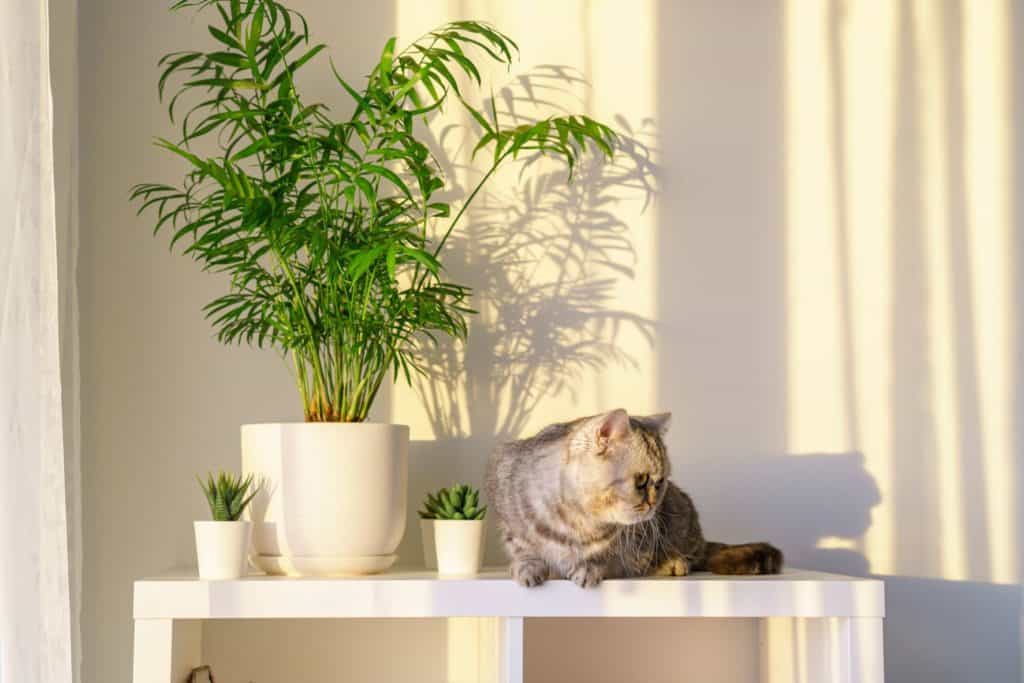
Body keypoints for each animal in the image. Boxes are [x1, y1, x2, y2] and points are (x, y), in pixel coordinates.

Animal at [483, 409, 778, 585]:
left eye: (661, 482)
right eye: (642, 481)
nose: (654, 503)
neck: (577, 519)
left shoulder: (632, 547)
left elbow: (611, 560)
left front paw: (589, 568)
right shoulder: (508, 510)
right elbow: (523, 549)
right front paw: (528, 568)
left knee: (689, 557)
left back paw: (673, 564)